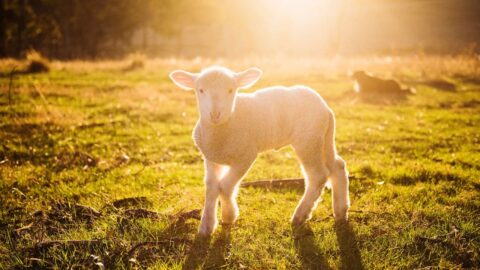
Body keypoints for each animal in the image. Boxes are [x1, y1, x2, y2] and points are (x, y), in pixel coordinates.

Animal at [169, 66, 348, 235]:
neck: (227, 124)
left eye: (231, 90)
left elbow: (225, 186)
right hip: (322, 138)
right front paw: (206, 226)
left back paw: (300, 215)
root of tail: (326, 108)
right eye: (201, 90)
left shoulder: (246, 156)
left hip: (308, 140)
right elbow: (211, 187)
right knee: (337, 166)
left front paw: (228, 216)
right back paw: (341, 211)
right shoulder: (211, 158)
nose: (215, 114)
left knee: (318, 176)